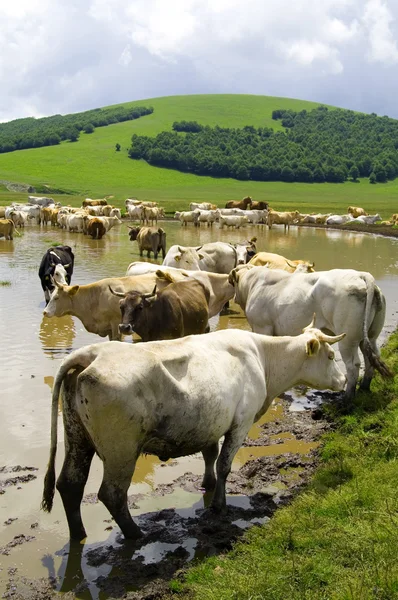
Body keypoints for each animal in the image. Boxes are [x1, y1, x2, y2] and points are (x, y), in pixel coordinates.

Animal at [40, 322, 346, 540]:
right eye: (331, 355)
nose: (344, 380)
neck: (262, 357)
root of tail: (92, 354)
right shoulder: (241, 422)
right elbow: (224, 464)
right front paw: (219, 504)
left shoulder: (211, 423)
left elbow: (210, 455)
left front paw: (207, 484)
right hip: (121, 450)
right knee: (112, 494)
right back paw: (136, 534)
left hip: (77, 437)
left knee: (70, 484)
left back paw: (79, 534)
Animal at [229, 266, 390, 398]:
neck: (253, 284)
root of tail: (361, 275)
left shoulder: (262, 327)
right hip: (371, 335)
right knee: (371, 357)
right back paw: (364, 387)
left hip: (348, 339)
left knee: (353, 364)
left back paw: (347, 398)